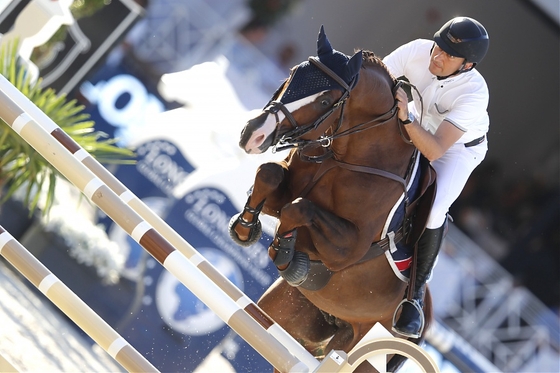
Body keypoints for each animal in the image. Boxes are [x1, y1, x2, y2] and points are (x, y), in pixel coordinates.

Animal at [229, 25, 438, 370]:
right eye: (292, 72)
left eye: (326, 99)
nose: (253, 134)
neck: (347, 157)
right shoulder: (282, 193)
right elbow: (270, 175)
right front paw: (245, 228)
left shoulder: (346, 249)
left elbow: (300, 208)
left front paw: (286, 255)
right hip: (289, 316)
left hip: (360, 345)